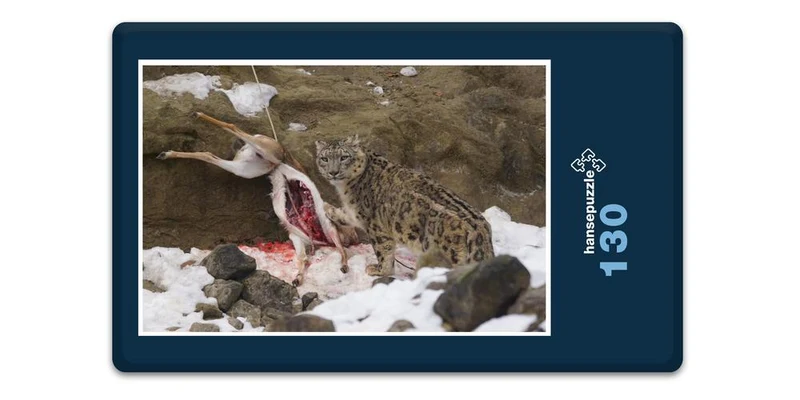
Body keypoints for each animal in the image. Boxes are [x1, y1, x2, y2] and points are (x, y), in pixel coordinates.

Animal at [315, 135, 494, 277]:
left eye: (344, 157)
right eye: (324, 158)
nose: (333, 172)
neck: (346, 187)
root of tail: (480, 231)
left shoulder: (376, 227)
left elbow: (383, 251)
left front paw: (379, 270)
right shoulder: (356, 213)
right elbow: (347, 215)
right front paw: (327, 208)